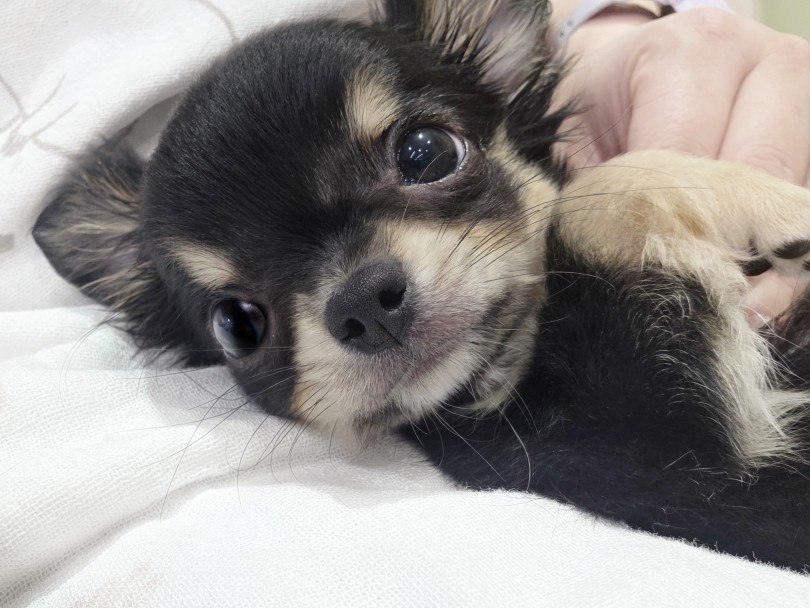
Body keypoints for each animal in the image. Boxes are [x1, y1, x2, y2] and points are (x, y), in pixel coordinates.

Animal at [33, 0, 810, 571]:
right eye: (237, 324)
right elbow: (600, 193)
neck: (515, 375)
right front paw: (780, 205)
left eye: (425, 152)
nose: (362, 304)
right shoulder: (685, 449)